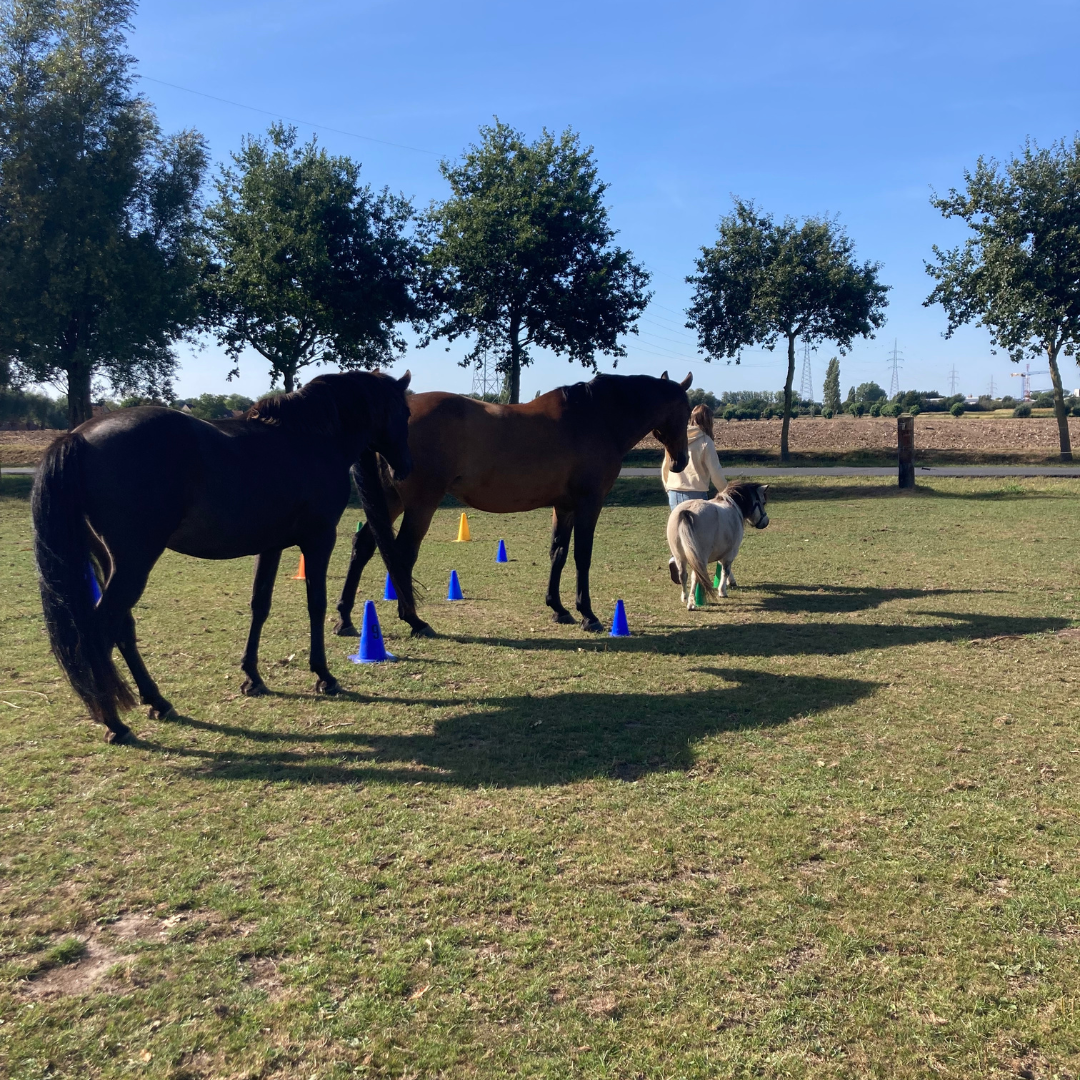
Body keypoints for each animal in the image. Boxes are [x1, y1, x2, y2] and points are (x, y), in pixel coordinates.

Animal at [32, 369, 414, 744]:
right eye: (406, 413)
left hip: (113, 563)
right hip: (133, 563)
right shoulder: (319, 540)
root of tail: (78, 437)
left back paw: (156, 701)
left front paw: (252, 678)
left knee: (121, 627)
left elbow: (260, 604)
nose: (404, 469)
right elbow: (315, 605)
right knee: (98, 633)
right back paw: (115, 722)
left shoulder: (270, 546)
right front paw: (324, 675)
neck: (312, 438)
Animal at [334, 371, 694, 637]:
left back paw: (345, 619)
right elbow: (582, 556)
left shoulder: (564, 507)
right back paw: (415, 620)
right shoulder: (589, 503)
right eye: (687, 411)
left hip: (390, 501)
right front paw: (587, 614)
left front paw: (558, 609)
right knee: (402, 554)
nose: (680, 462)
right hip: (420, 504)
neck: (596, 418)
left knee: (363, 546)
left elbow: (558, 553)